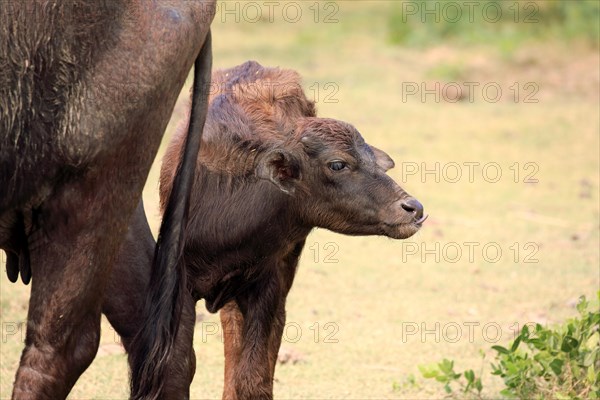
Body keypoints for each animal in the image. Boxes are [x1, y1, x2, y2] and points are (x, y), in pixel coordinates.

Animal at [105, 60, 424, 400]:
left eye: (371, 160)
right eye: (337, 164)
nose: (414, 209)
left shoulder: (267, 283)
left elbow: (253, 377)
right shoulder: (180, 285)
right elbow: (177, 364)